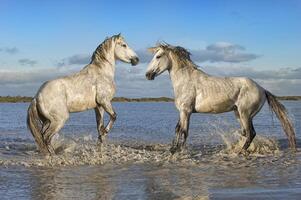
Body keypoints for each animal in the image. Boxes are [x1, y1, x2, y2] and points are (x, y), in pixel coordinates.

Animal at [145, 43, 296, 154]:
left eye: (158, 56)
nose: (148, 75)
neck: (185, 81)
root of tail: (262, 89)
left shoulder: (186, 111)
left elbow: (184, 131)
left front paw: (178, 151)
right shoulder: (183, 112)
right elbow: (177, 129)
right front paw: (173, 149)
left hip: (245, 114)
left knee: (250, 133)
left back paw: (238, 152)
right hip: (239, 113)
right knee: (245, 133)